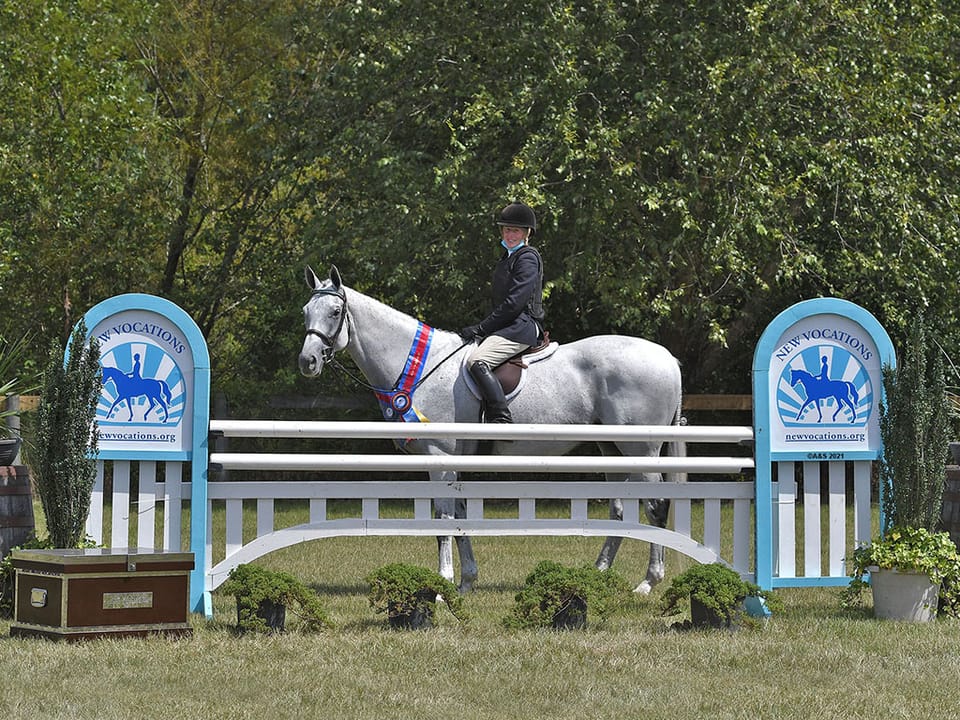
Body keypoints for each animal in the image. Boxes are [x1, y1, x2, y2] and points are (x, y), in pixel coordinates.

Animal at [298, 265, 684, 593]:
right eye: (305, 312)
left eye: (335, 312)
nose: (307, 362)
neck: (420, 366)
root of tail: (668, 357)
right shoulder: (454, 463)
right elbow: (460, 517)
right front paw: (466, 582)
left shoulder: (440, 458)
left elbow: (443, 518)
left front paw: (442, 588)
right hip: (611, 449)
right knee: (621, 508)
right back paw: (598, 574)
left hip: (641, 451)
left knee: (655, 506)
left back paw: (648, 582)